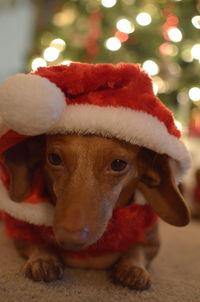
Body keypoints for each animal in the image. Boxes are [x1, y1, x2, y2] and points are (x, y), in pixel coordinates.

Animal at [0, 133, 190, 290]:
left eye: (118, 164)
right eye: (54, 158)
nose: (69, 238)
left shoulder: (151, 242)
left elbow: (137, 250)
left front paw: (133, 268)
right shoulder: (20, 232)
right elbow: (36, 242)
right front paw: (43, 259)